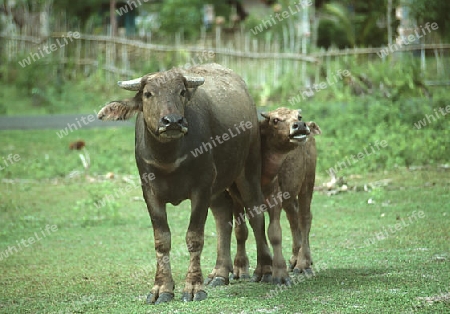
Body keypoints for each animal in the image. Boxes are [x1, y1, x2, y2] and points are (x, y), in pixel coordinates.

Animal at [97, 63, 270, 304]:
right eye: (148, 94)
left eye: (180, 92)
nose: (172, 122)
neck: (168, 158)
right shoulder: (149, 192)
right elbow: (162, 239)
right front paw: (161, 288)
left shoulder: (201, 187)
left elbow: (194, 237)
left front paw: (193, 287)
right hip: (218, 187)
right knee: (223, 215)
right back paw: (219, 273)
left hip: (249, 169)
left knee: (256, 214)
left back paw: (265, 270)